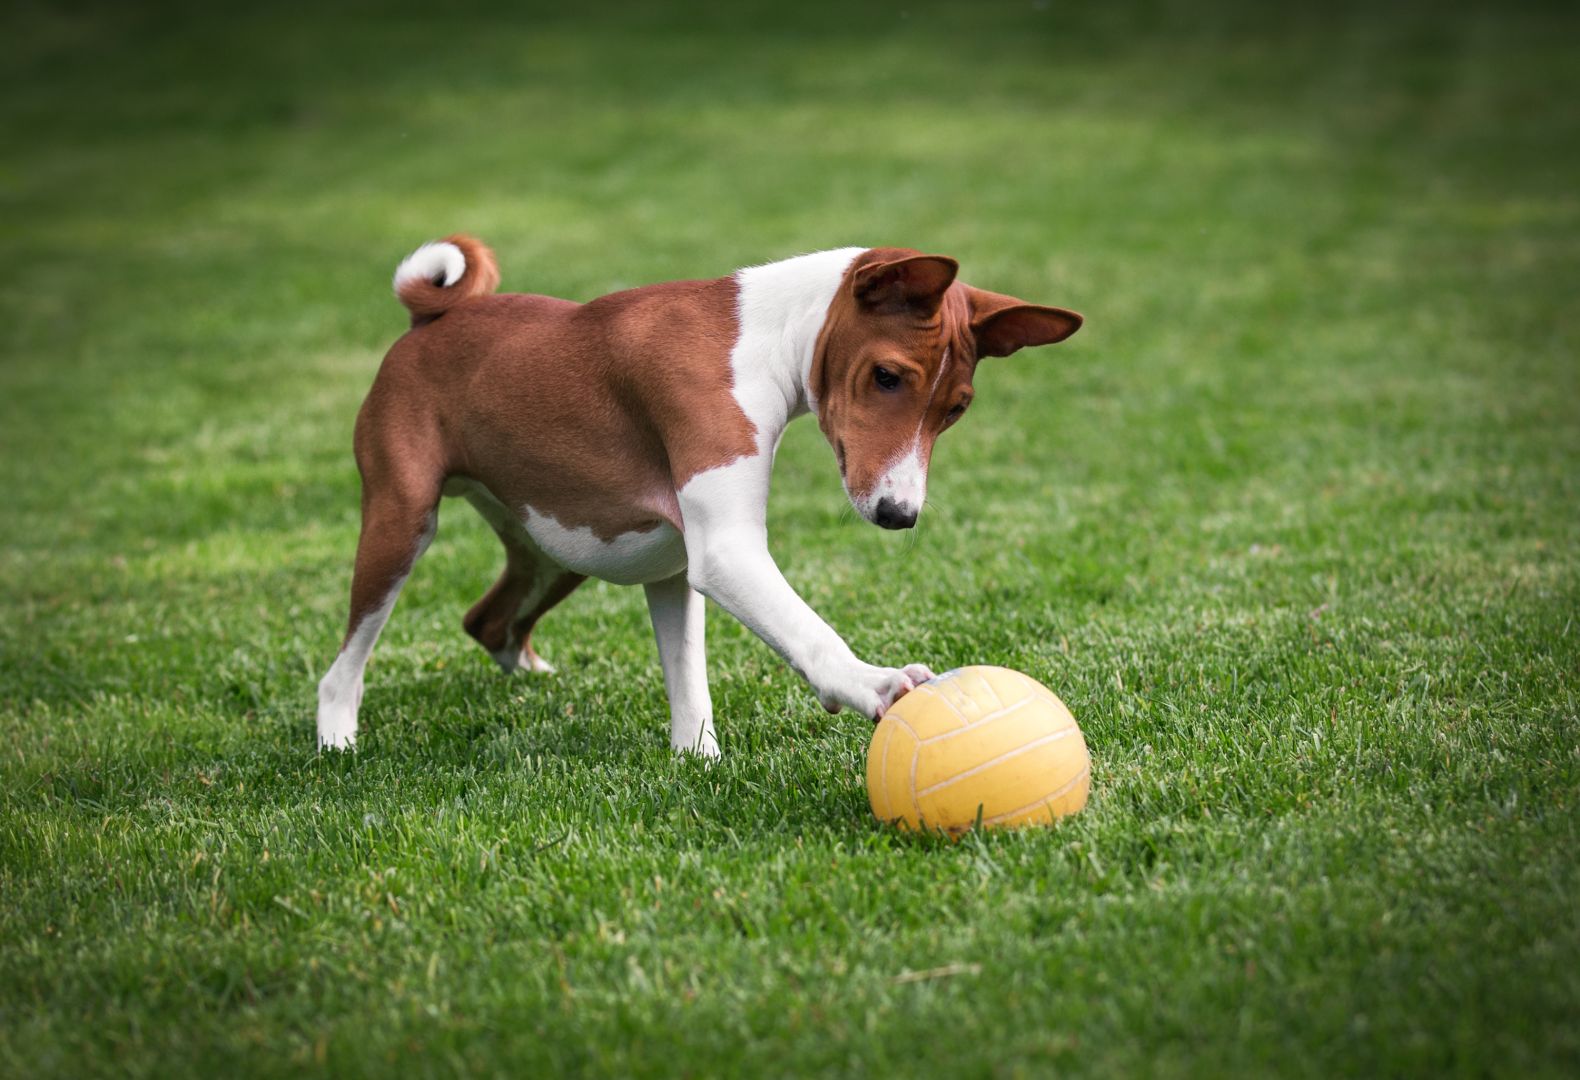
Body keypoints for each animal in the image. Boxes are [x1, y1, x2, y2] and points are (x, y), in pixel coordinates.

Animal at [320, 236, 1087, 754]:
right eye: (888, 377)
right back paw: (337, 744)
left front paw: (697, 762)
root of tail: (428, 324)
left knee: (489, 620)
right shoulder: (725, 552)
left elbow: (689, 684)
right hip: (402, 525)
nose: (901, 515)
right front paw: (873, 684)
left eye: (955, 410)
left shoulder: (672, 563)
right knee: (341, 671)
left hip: (558, 548)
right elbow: (810, 633)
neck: (760, 341)